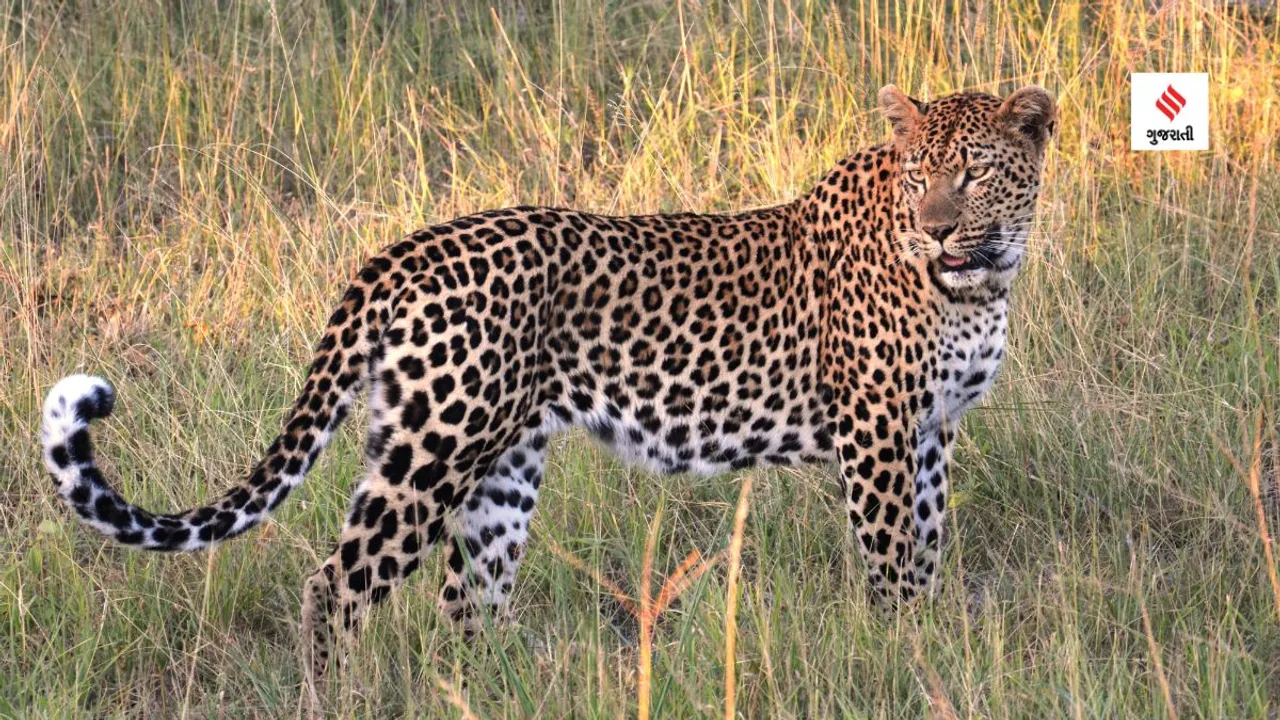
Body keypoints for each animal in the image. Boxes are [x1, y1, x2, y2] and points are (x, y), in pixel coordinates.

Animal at [40, 84, 1056, 692]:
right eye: (920, 177)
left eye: (971, 173)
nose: (934, 230)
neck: (982, 280)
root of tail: (396, 253)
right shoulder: (877, 430)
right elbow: (892, 560)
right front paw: (903, 653)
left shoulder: (933, 432)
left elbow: (928, 545)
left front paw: (931, 641)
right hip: (434, 451)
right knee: (337, 582)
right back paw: (334, 696)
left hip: (496, 467)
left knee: (466, 602)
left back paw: (485, 692)